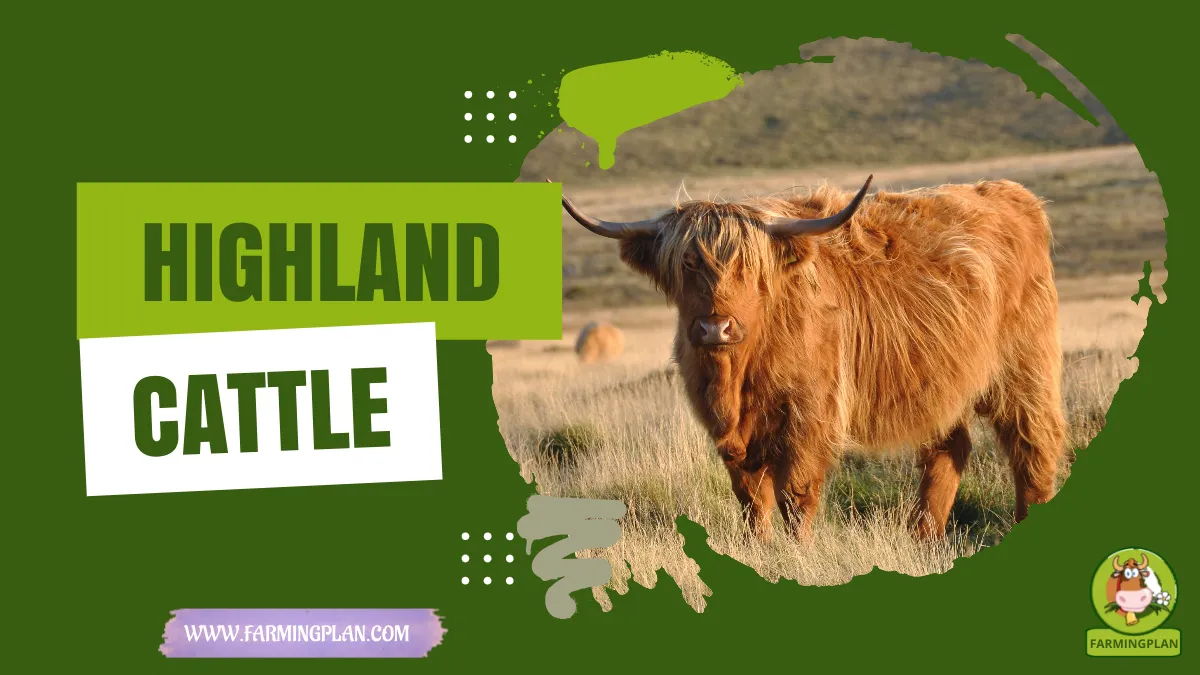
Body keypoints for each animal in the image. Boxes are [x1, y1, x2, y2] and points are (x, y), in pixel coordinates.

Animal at [557, 175, 1066, 541]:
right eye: (687, 264)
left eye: (749, 268)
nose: (715, 328)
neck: (736, 378)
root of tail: (1013, 194)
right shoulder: (728, 432)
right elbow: (751, 498)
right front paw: (758, 549)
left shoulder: (810, 415)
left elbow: (795, 496)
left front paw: (797, 554)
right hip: (941, 380)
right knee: (949, 449)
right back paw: (921, 538)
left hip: (1025, 369)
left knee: (1034, 447)